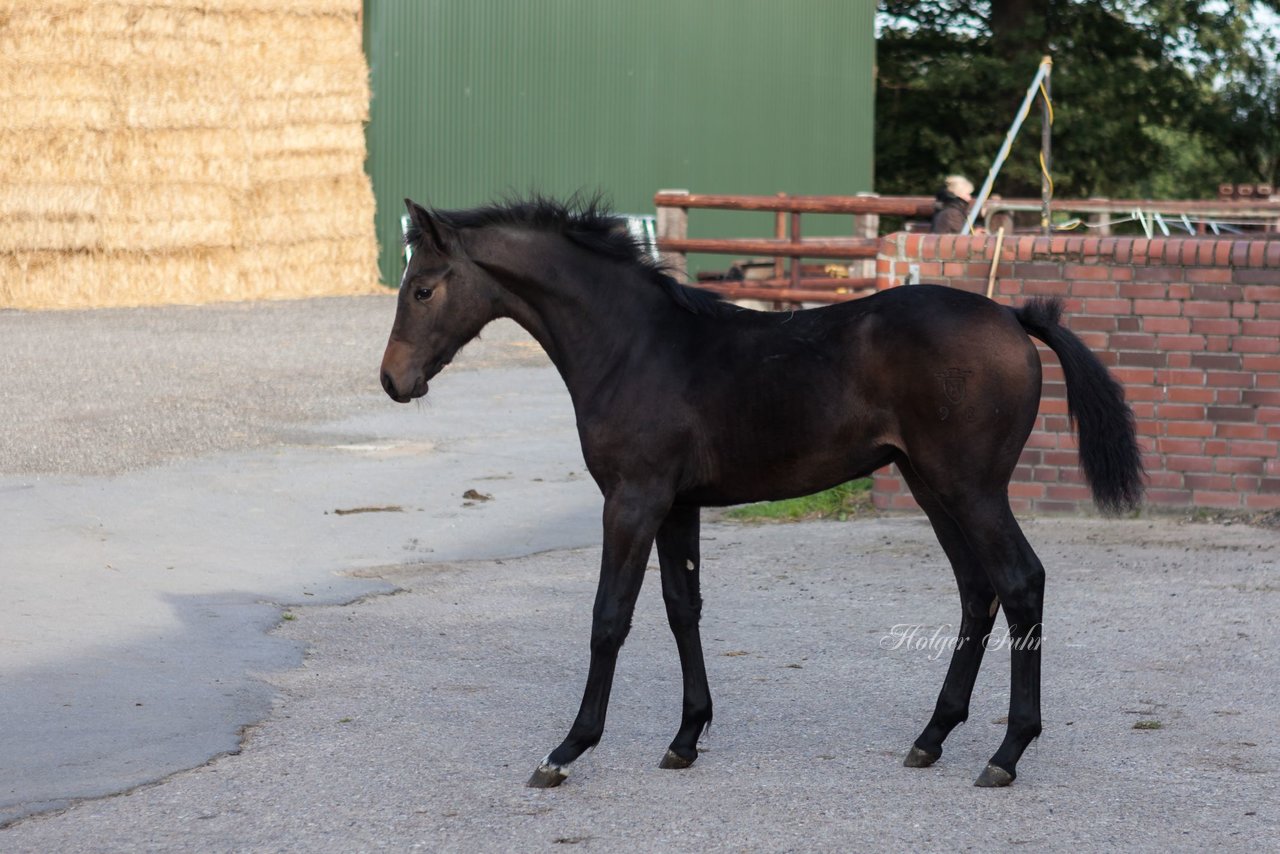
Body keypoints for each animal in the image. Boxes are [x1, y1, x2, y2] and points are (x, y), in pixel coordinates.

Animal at [376, 195, 1141, 788]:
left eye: (423, 289)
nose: (392, 380)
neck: (635, 346)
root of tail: (1014, 317)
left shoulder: (632, 499)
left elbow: (609, 617)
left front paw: (566, 750)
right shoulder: (677, 504)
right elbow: (682, 607)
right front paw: (686, 738)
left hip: (971, 486)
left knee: (1020, 582)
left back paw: (1006, 752)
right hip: (931, 486)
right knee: (977, 592)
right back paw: (932, 738)